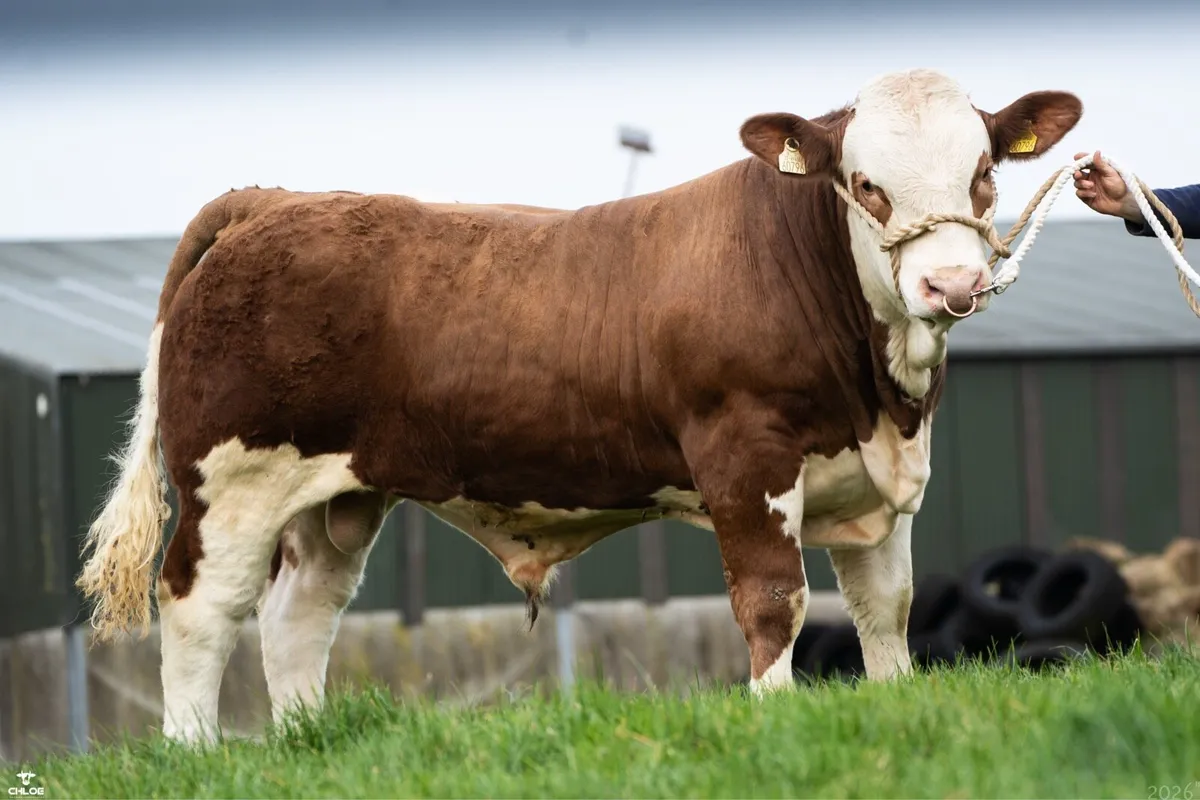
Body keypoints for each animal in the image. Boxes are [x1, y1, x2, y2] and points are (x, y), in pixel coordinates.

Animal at [77, 68, 1082, 743]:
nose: (951, 284)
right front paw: (771, 711)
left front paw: (891, 701)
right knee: (201, 607)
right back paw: (198, 751)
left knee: (299, 612)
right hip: (230, 482)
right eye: (867, 184)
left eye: (984, 173)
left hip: (339, 494)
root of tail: (270, 200)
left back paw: (302, 742)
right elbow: (775, 599)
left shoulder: (880, 479)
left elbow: (886, 607)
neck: (877, 395)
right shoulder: (743, 456)